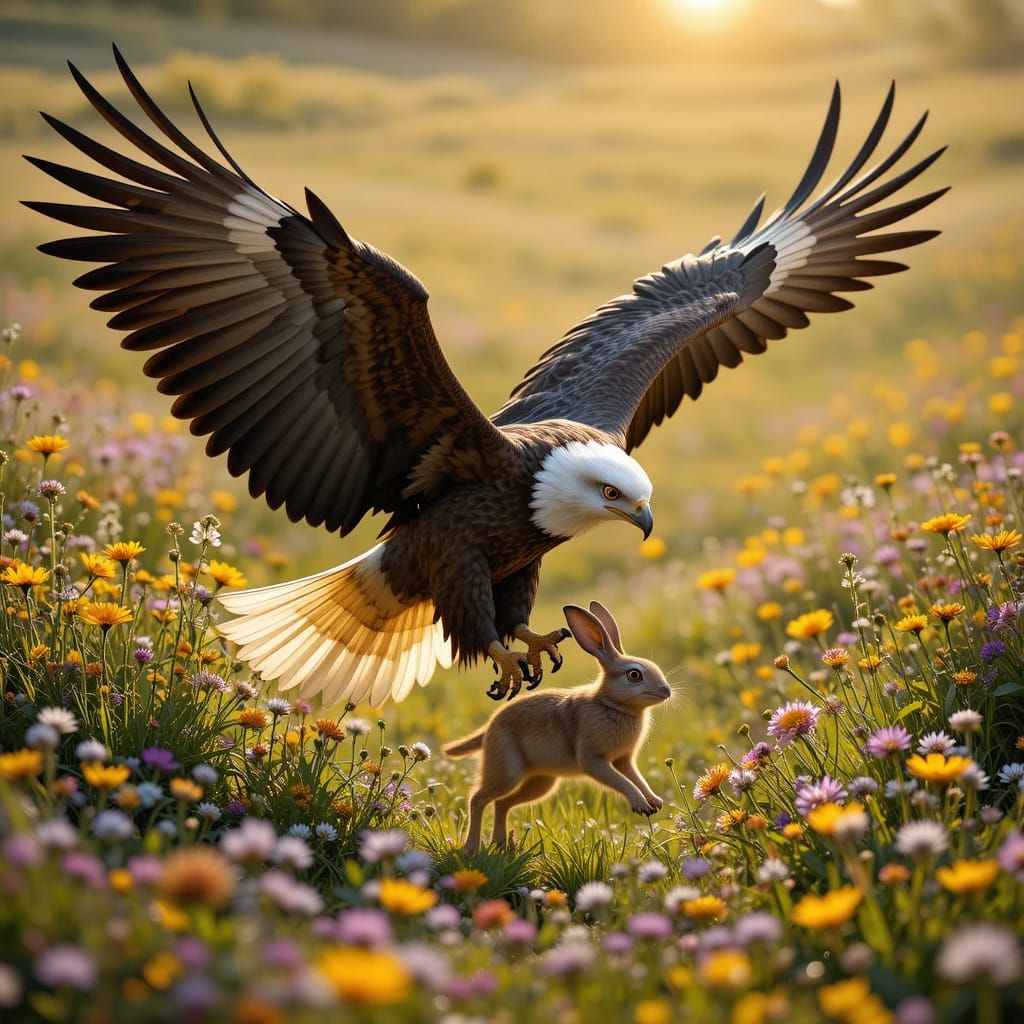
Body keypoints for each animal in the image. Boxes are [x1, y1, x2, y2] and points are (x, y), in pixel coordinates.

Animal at [444, 601, 672, 855]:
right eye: (634, 675)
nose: (666, 691)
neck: (611, 704)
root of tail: (489, 729)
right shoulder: (593, 759)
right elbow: (622, 781)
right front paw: (641, 804)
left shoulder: (623, 760)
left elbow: (635, 777)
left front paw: (654, 802)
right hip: (507, 772)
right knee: (477, 799)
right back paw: (471, 850)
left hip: (541, 782)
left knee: (502, 803)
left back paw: (501, 845)